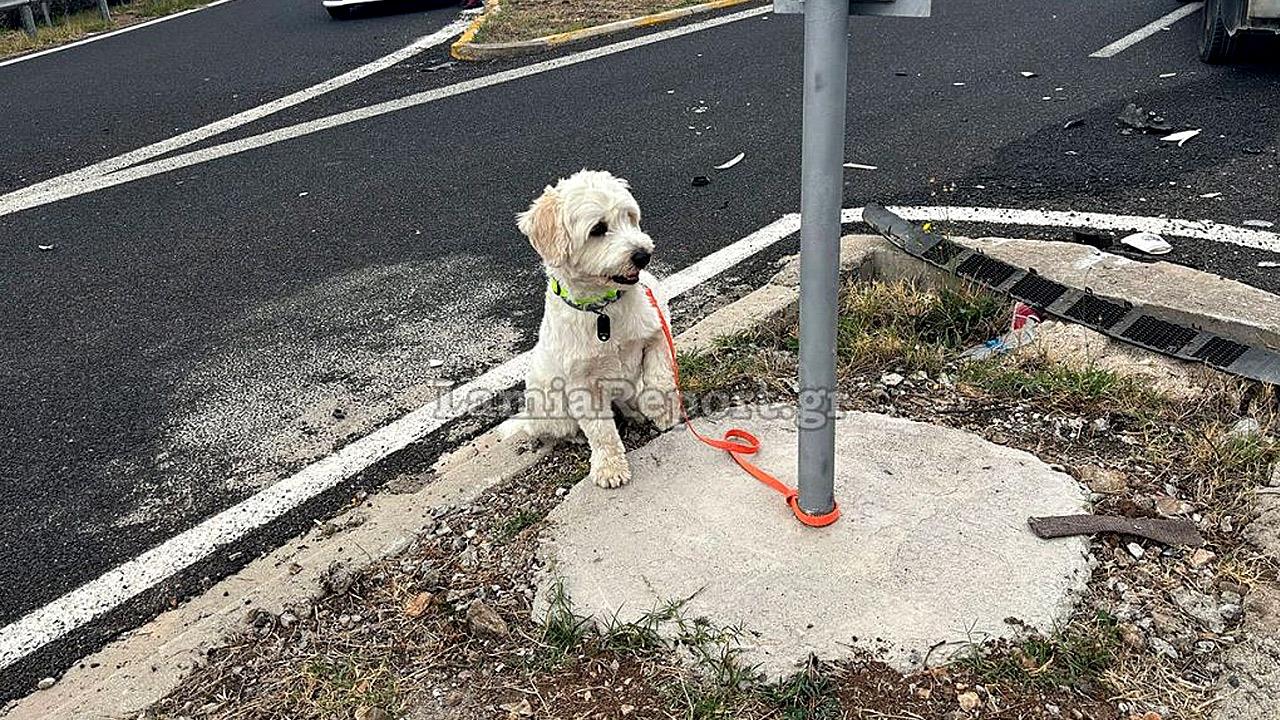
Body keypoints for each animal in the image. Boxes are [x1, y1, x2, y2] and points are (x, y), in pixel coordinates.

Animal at [496, 167, 680, 486]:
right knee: (560, 430)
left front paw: (661, 412)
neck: (603, 309)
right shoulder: (582, 385)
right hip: (553, 408)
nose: (642, 254)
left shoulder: (657, 330)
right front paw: (610, 468)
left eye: (630, 217)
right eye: (597, 229)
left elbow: (659, 377)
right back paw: (577, 437)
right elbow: (601, 431)